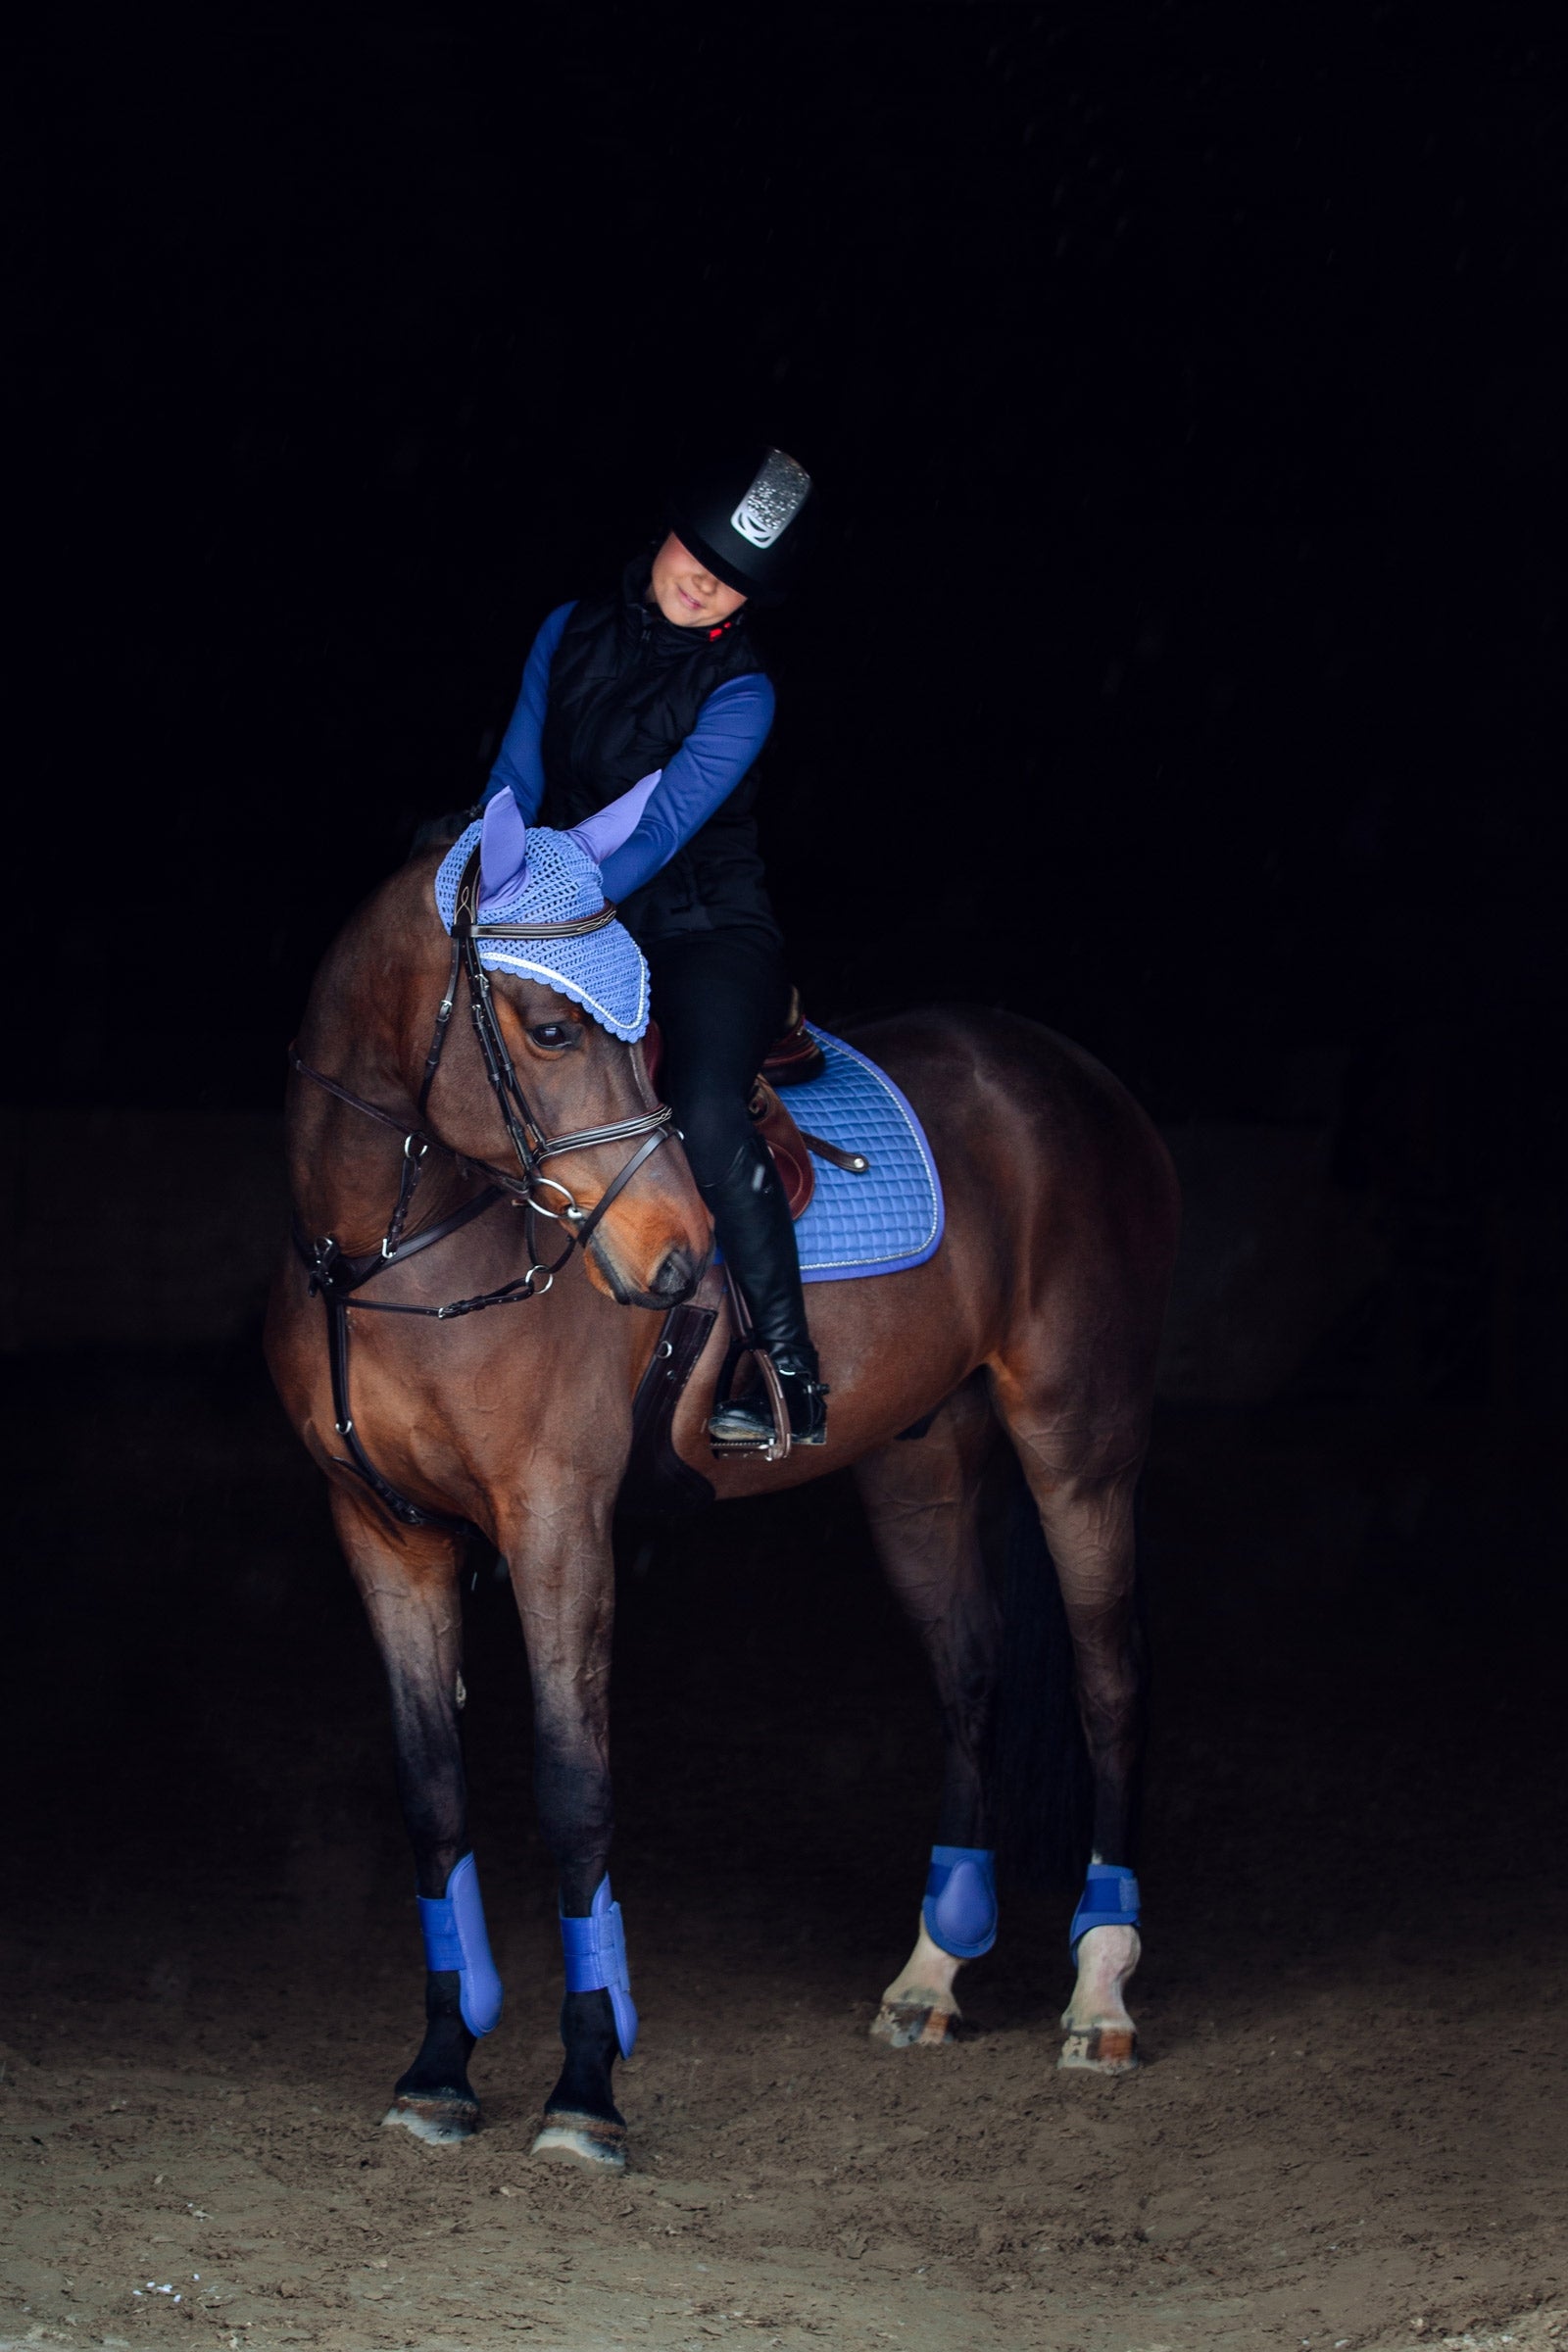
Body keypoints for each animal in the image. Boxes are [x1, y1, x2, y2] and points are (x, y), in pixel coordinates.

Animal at [264, 792, 1180, 2168]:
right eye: (547, 1029)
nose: (679, 1257)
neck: (392, 1254)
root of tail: (1073, 1073)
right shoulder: (383, 1530)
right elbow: (432, 1795)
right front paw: (438, 2071)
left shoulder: (555, 1525)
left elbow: (575, 1790)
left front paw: (587, 2090)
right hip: (921, 1462)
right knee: (969, 1673)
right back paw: (930, 1975)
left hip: (1077, 1439)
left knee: (1107, 1680)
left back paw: (1101, 1991)